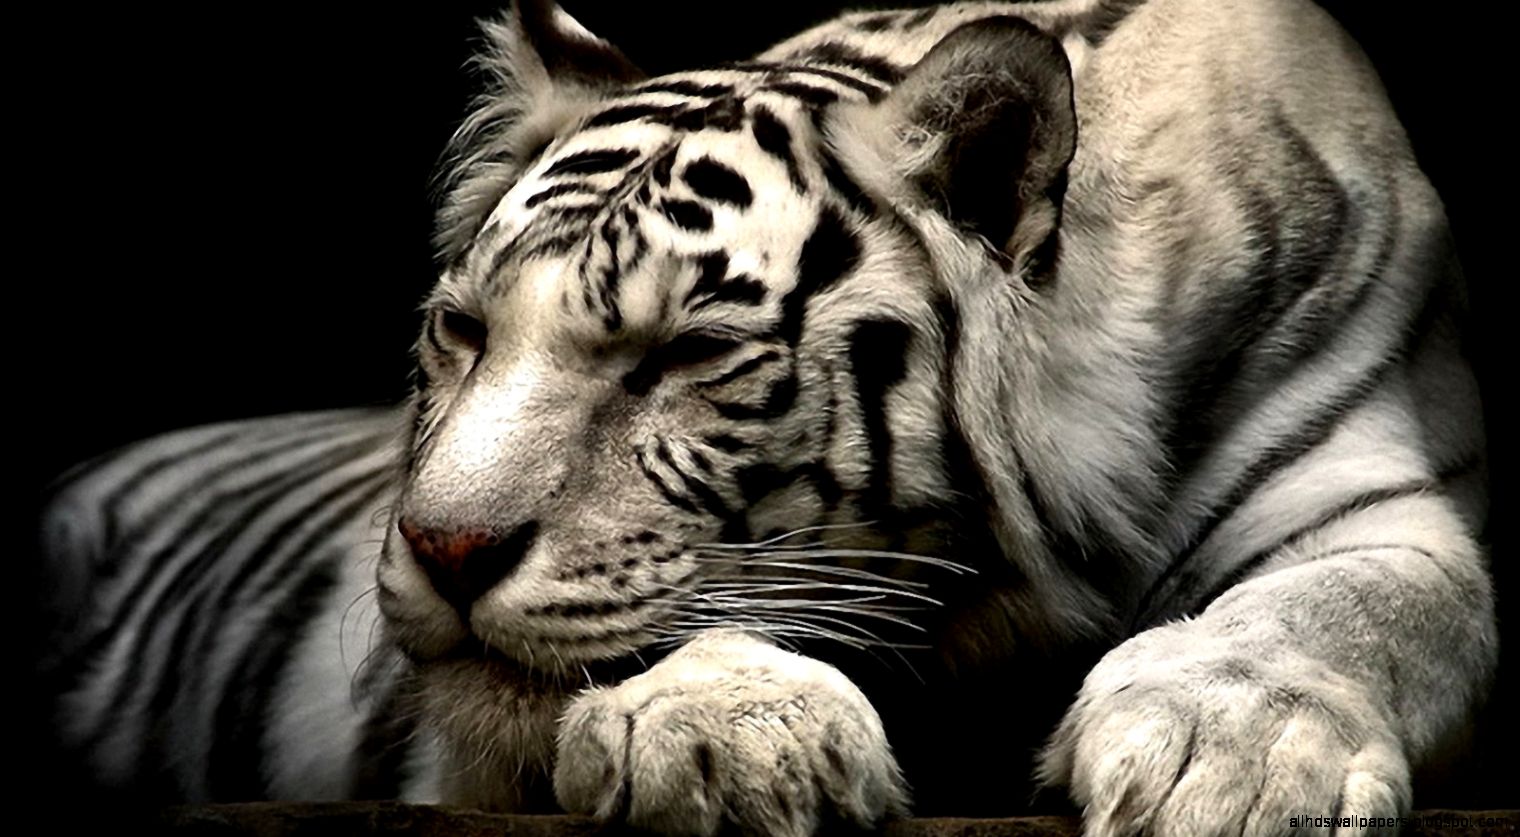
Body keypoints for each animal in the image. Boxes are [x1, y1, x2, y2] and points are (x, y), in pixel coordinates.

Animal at [36, 0, 1493, 834]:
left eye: (687, 353)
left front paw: (1226, 757)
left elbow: (1353, 609)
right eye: (464, 333)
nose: (442, 552)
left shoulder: (1376, 497)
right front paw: (727, 733)